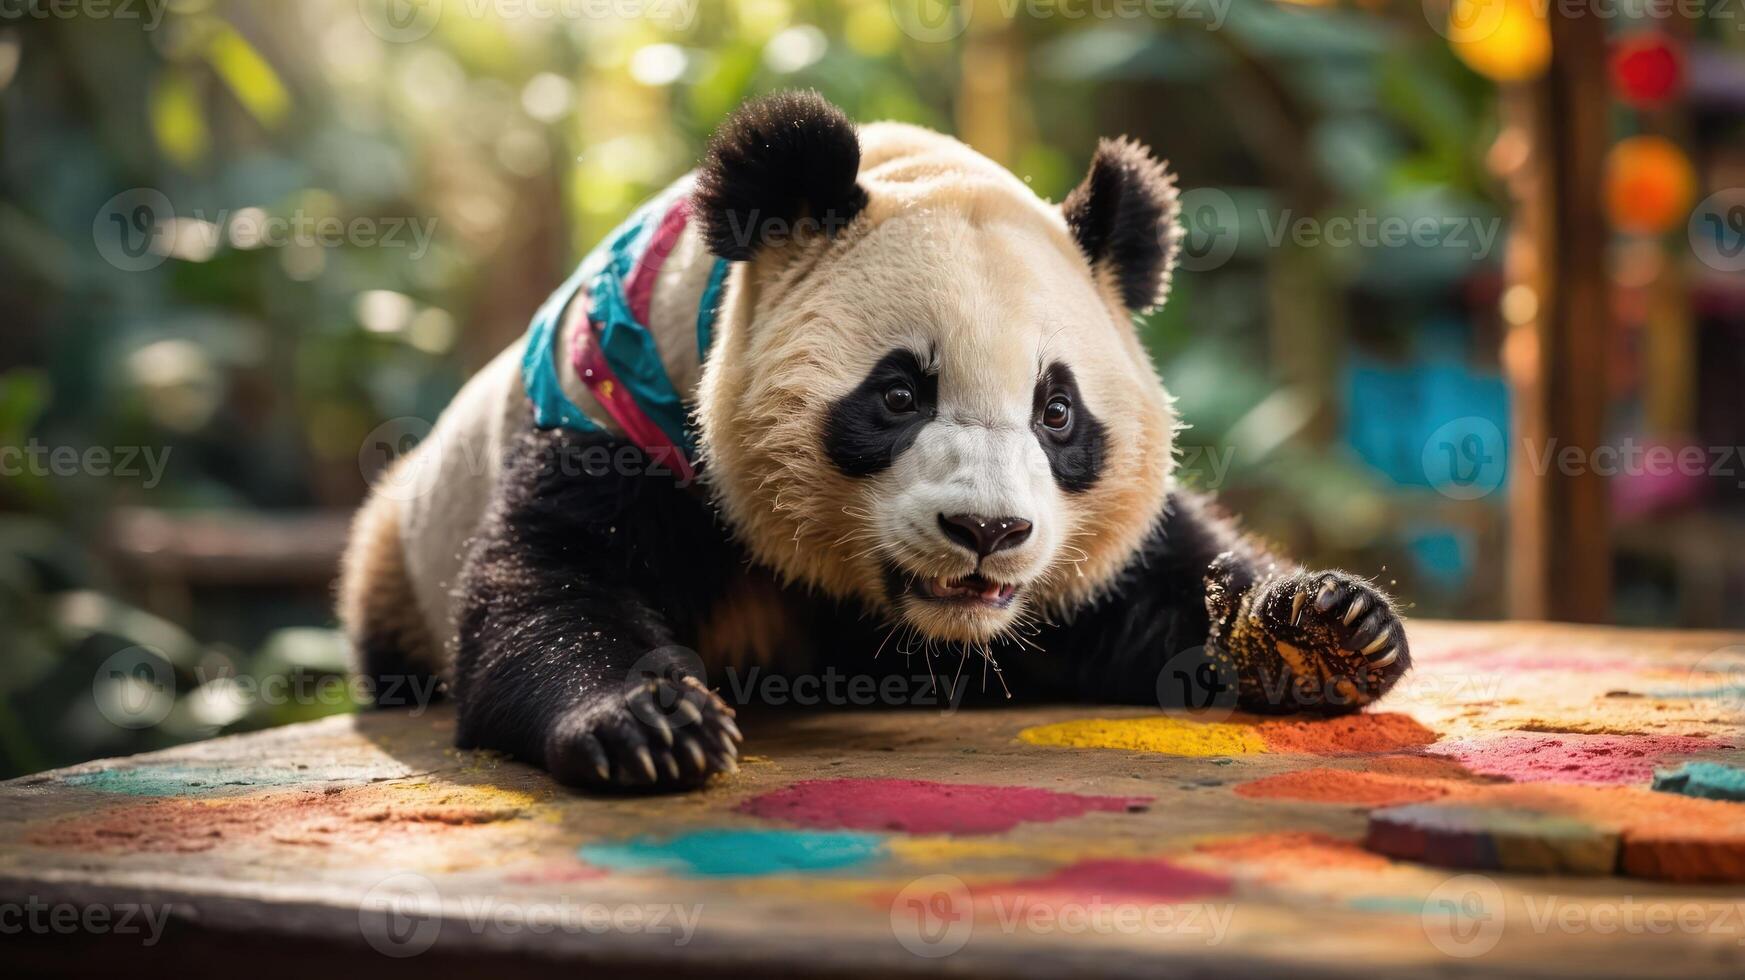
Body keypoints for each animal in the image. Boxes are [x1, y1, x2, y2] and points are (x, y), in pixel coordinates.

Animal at [338, 90, 1412, 790]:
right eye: (897, 394)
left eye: (1056, 412)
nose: (987, 533)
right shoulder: (615, 409)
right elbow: (547, 586)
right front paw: (646, 724)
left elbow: (1155, 586)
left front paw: (1326, 627)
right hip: (391, 557)